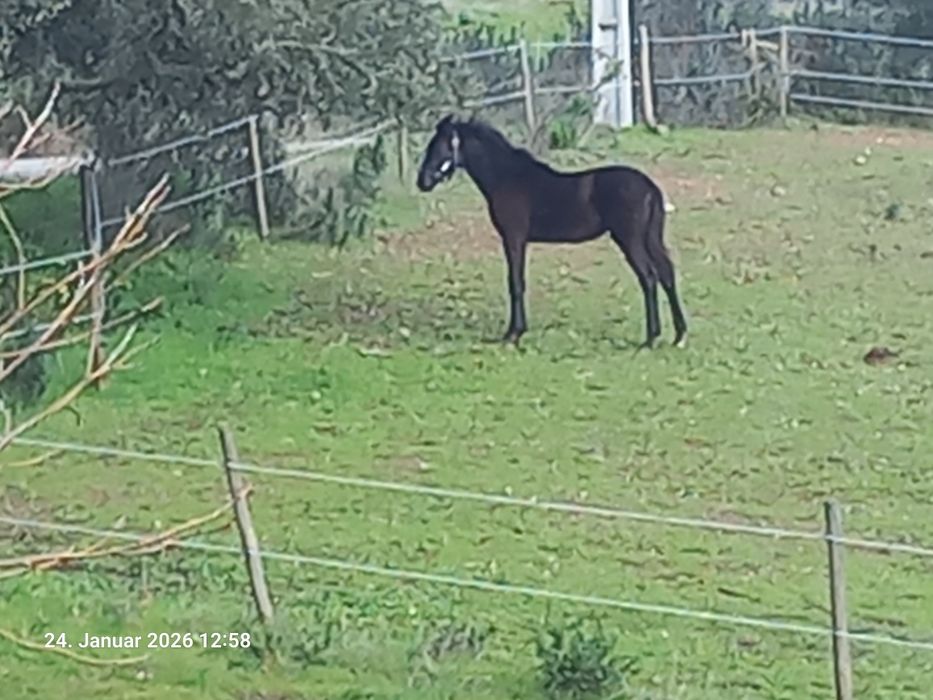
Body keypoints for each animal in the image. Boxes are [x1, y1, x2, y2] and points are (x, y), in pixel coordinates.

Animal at [415, 114, 688, 349]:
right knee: (666, 275)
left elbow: (516, 282)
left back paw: (650, 339)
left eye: (439, 146)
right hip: (651, 239)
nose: (422, 182)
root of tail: (650, 188)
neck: (507, 177)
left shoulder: (514, 238)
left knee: (649, 278)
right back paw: (679, 335)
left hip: (630, 240)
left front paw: (513, 334)